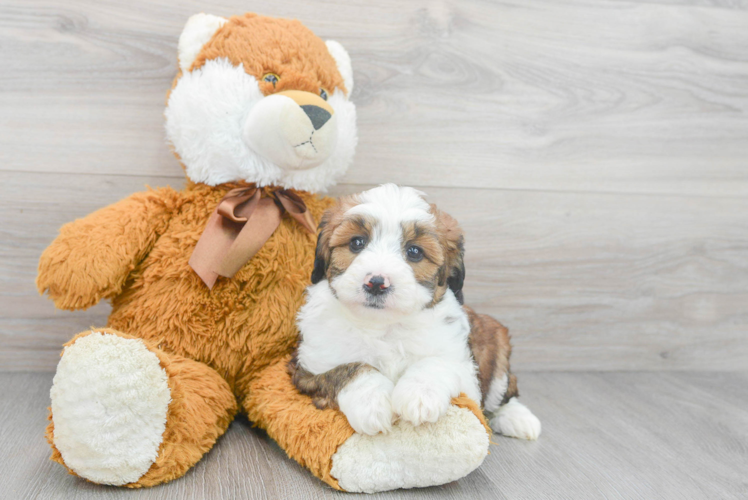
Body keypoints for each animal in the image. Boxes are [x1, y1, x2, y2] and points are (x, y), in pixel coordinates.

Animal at [290, 184, 540, 438]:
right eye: (356, 243)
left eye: (414, 252)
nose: (376, 283)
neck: (383, 326)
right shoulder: (308, 367)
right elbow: (348, 368)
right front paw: (372, 403)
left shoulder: (467, 373)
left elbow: (437, 362)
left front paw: (420, 395)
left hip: (497, 347)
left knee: (503, 393)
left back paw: (518, 418)